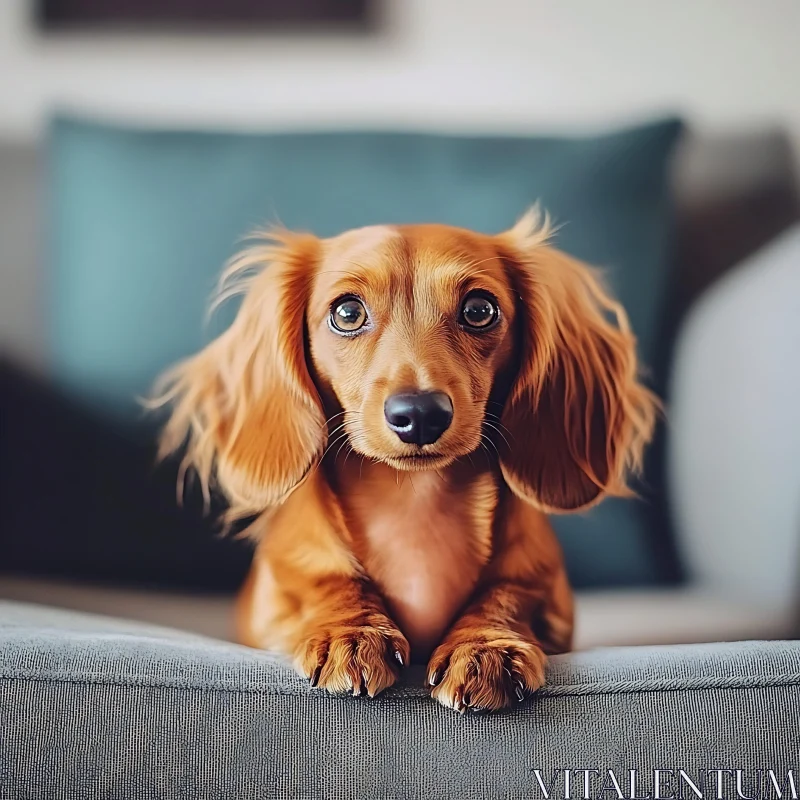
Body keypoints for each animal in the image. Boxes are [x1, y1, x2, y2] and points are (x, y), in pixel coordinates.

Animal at [155, 208, 656, 712]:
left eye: (479, 309)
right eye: (347, 312)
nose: (419, 414)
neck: (414, 505)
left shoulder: (546, 593)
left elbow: (509, 595)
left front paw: (485, 645)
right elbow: (327, 583)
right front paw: (350, 632)